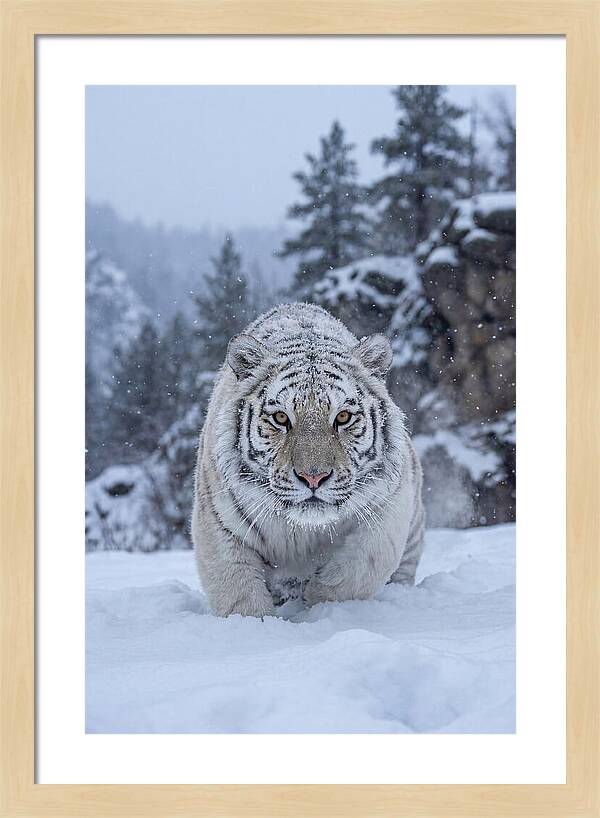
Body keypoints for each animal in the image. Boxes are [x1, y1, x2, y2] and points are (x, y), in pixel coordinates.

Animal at [192, 302, 425, 618]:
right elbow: (238, 594)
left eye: (343, 417)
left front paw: (320, 602)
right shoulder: (219, 524)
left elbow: (358, 570)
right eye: (280, 418)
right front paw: (256, 624)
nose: (313, 477)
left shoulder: (388, 508)